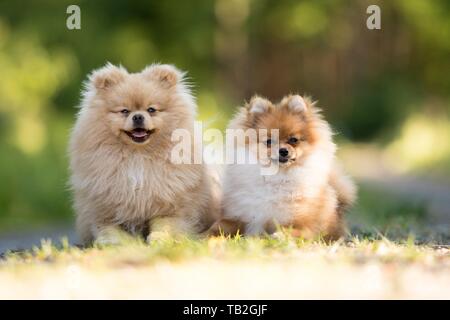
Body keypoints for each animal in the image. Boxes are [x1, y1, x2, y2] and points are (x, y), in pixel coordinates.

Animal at [68, 63, 218, 245]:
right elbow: (108, 229)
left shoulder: (170, 208)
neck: (138, 156)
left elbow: (164, 225)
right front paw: (113, 242)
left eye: (151, 110)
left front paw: (160, 239)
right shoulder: (104, 211)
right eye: (124, 111)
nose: (138, 116)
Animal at [213, 94, 356, 239]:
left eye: (293, 140)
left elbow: (293, 231)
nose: (283, 151)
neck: (277, 177)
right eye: (269, 141)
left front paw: (279, 235)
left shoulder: (305, 226)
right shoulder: (239, 217)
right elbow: (218, 227)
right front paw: (208, 236)